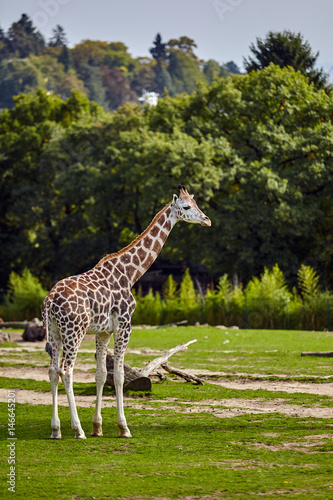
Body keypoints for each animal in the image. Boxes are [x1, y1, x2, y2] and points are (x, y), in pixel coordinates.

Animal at [42, 184, 210, 438]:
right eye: (187, 206)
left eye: (196, 203)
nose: (207, 220)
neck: (131, 274)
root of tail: (50, 300)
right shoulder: (125, 325)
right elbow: (121, 376)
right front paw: (123, 428)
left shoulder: (103, 331)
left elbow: (101, 374)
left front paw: (98, 427)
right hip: (74, 331)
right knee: (67, 371)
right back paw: (77, 429)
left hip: (53, 331)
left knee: (53, 371)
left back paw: (56, 429)